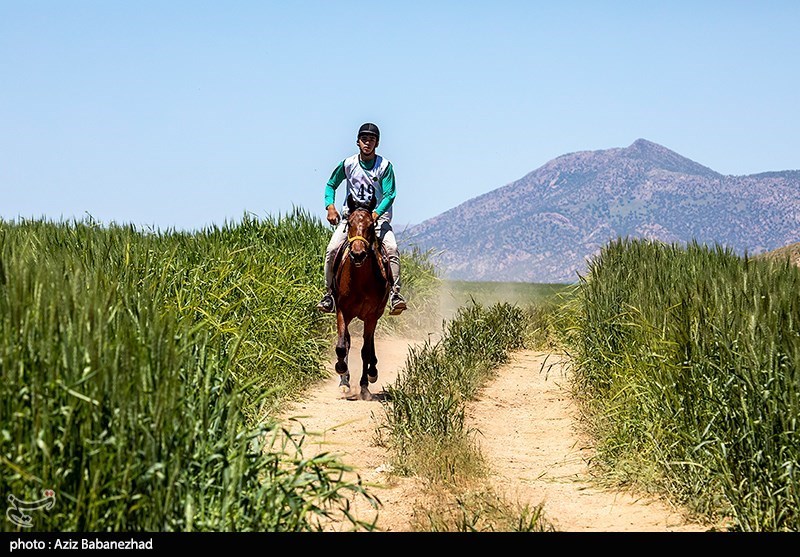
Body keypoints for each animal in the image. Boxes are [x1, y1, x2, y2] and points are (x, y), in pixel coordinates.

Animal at [332, 194, 392, 400]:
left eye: (371, 225)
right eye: (349, 223)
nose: (358, 254)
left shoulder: (371, 315)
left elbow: (365, 351)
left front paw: (365, 385)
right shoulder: (342, 311)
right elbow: (342, 346)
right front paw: (341, 371)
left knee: (369, 343)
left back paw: (372, 373)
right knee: (349, 342)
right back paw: (345, 382)